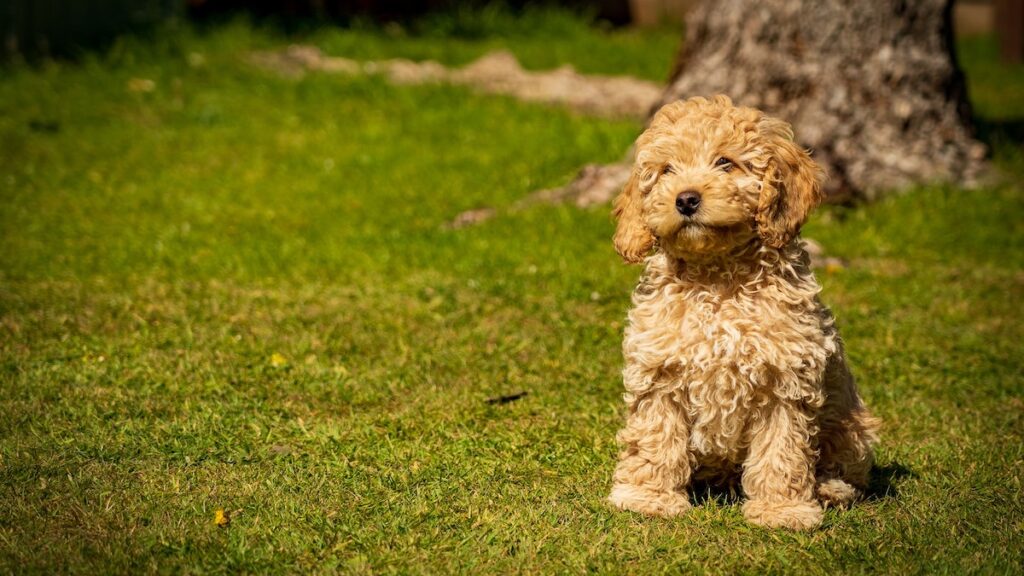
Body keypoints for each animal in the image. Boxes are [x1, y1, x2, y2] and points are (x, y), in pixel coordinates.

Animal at [606, 95, 880, 528]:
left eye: (725, 162)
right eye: (666, 170)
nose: (685, 199)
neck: (717, 280)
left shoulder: (785, 379)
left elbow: (782, 450)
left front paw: (782, 510)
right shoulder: (659, 372)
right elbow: (655, 437)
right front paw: (647, 496)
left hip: (850, 424)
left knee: (846, 467)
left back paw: (830, 489)